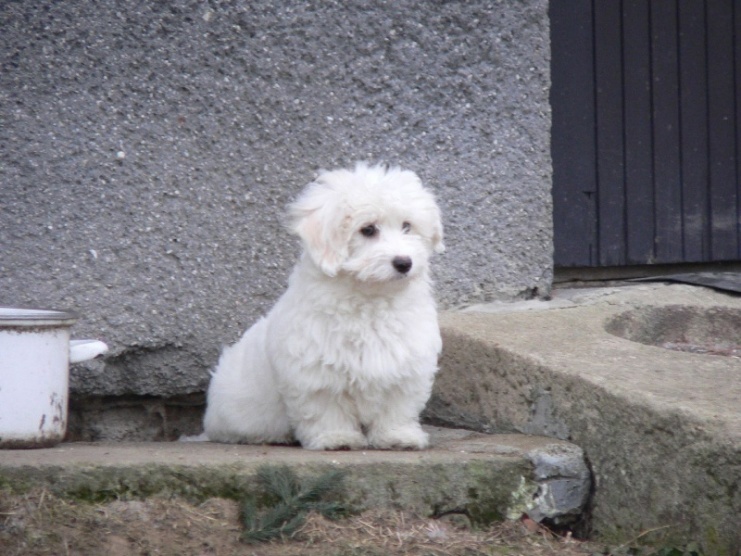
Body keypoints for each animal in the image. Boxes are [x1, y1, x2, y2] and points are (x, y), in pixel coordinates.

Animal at [203, 162, 444, 450]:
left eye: (407, 226)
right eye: (368, 230)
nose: (404, 262)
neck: (370, 299)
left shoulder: (405, 364)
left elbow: (396, 405)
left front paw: (397, 436)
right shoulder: (314, 370)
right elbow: (326, 406)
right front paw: (336, 437)